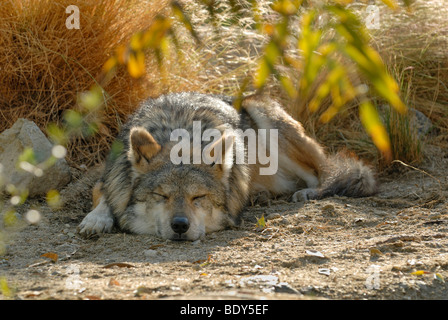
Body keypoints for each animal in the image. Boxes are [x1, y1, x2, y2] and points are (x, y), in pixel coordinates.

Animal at [78, 92, 378, 240]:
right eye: (161, 196)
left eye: (199, 197)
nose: (180, 225)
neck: (179, 130)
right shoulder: (107, 177)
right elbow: (103, 196)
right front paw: (96, 219)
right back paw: (261, 195)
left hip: (264, 115)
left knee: (323, 174)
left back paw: (307, 192)